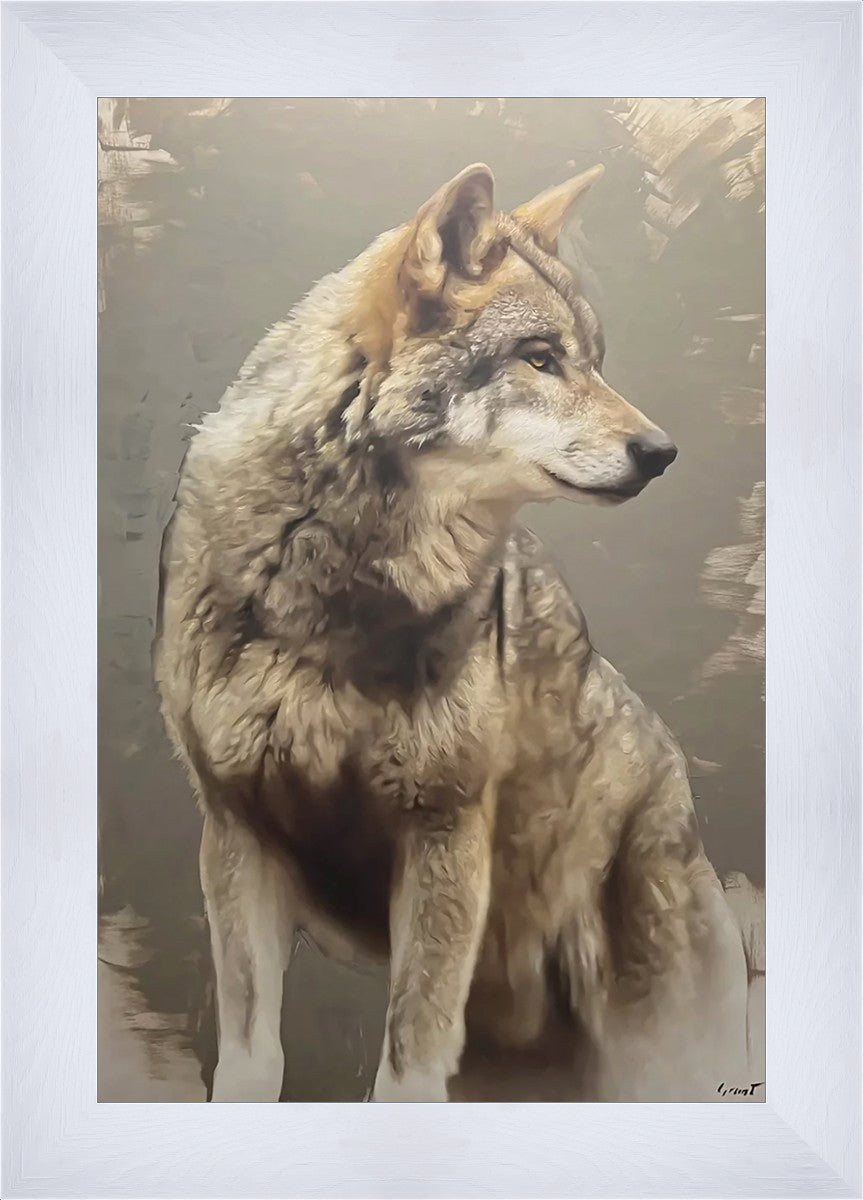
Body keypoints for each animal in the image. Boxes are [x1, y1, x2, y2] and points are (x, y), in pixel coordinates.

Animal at [154, 163, 752, 1102]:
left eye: (593, 360)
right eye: (540, 358)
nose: (661, 452)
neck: (332, 591)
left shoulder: (444, 834)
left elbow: (406, 1069)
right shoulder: (237, 833)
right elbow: (254, 1060)